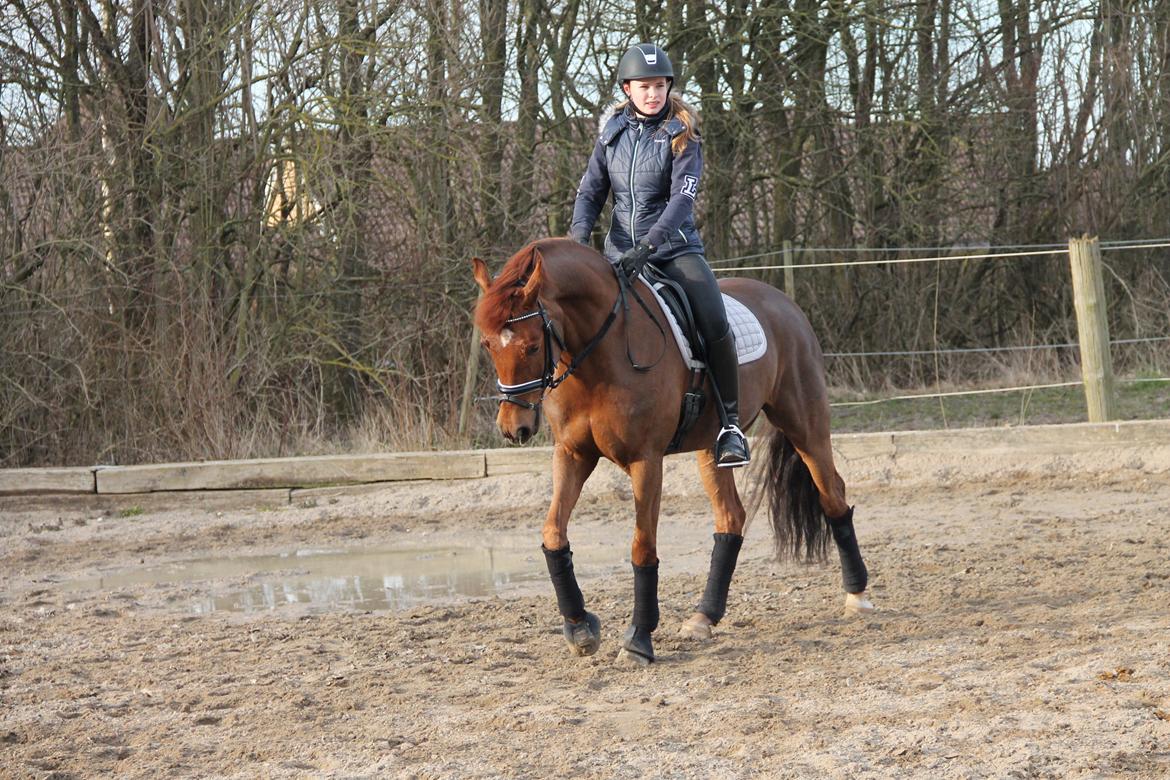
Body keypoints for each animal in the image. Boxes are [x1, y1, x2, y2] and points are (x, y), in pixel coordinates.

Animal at [470, 238, 875, 664]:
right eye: (487, 344)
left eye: (532, 345)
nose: (513, 428)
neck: (598, 358)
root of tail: (784, 302)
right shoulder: (572, 455)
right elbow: (553, 533)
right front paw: (580, 627)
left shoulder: (645, 460)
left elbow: (642, 547)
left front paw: (638, 640)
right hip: (711, 448)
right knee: (731, 518)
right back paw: (703, 618)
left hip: (804, 424)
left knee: (833, 496)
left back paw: (857, 596)